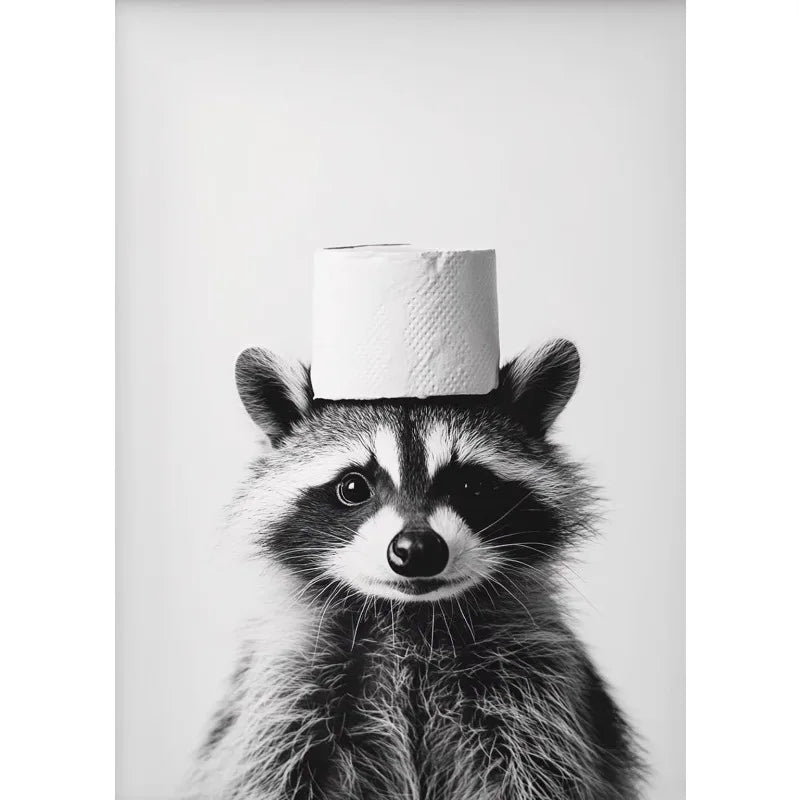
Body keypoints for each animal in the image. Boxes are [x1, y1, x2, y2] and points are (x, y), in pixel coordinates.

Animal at [188, 339, 645, 800]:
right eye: (353, 487)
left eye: (471, 485)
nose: (418, 549)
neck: (411, 617)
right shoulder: (288, 686)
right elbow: (268, 772)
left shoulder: (535, 688)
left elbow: (541, 772)